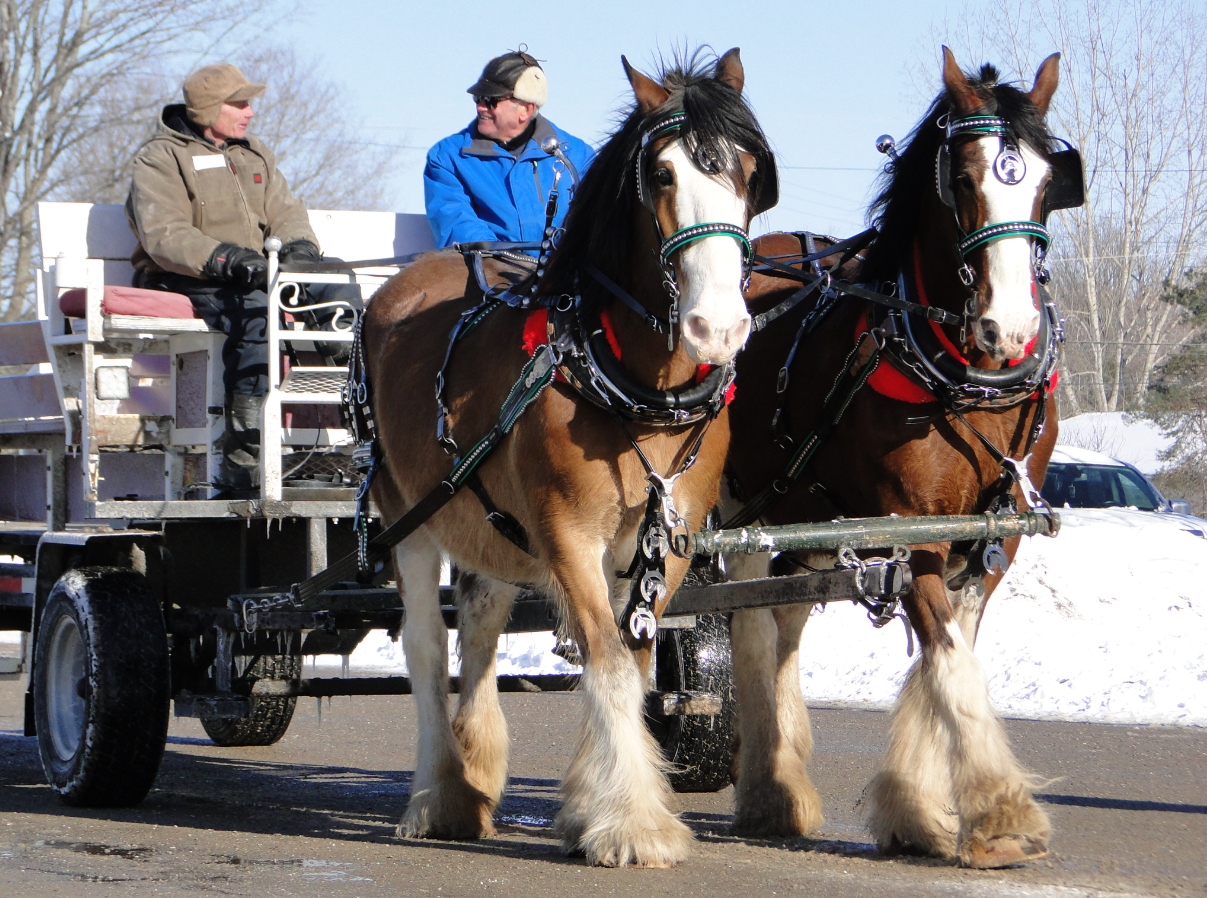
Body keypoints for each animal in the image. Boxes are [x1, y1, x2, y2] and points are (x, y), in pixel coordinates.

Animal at [359, 50, 772, 869]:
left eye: (747, 172)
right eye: (663, 173)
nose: (717, 328)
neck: (634, 385)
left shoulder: (663, 539)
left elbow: (630, 662)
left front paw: (591, 809)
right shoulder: (567, 535)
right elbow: (606, 659)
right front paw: (634, 824)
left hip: (483, 519)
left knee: (479, 627)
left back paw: (474, 768)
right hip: (408, 513)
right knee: (425, 646)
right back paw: (438, 793)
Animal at [719, 47, 1081, 864]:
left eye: (1049, 182)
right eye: (964, 180)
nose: (1011, 328)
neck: (964, 375)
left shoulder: (991, 543)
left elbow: (948, 660)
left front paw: (916, 808)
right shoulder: (908, 532)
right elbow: (948, 663)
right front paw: (998, 814)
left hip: (807, 515)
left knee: (785, 621)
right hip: (737, 508)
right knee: (748, 624)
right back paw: (766, 791)